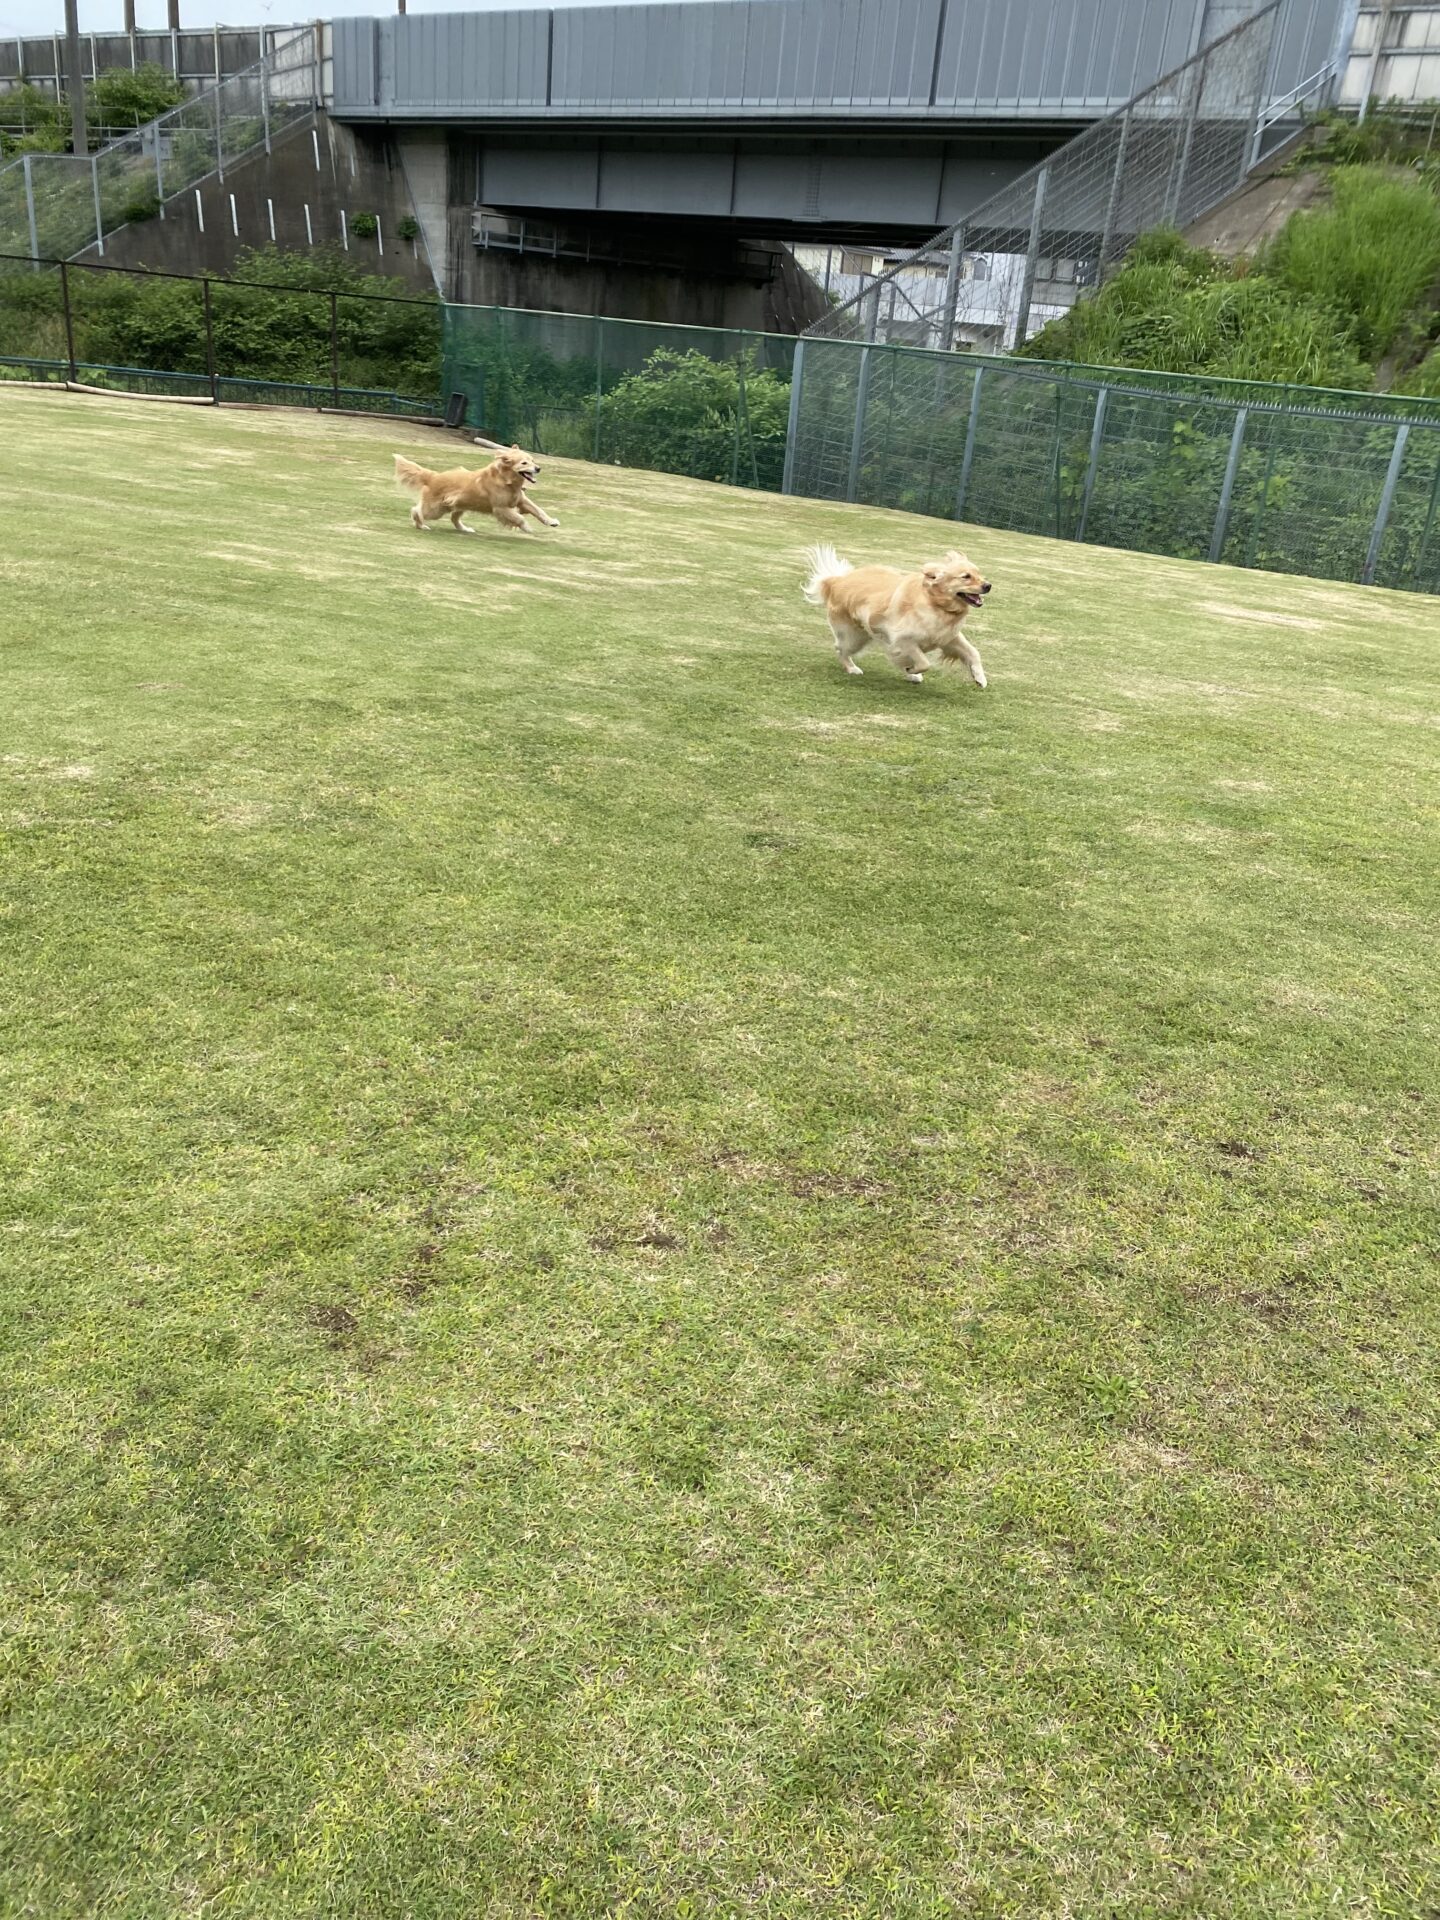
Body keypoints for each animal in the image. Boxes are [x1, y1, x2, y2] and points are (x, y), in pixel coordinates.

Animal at [393, 447, 559, 535]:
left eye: (533, 460)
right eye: (524, 463)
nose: (538, 468)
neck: (506, 480)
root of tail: (433, 476)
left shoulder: (521, 500)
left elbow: (539, 511)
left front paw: (552, 521)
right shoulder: (500, 508)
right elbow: (519, 518)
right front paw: (527, 528)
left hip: (460, 505)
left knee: (454, 519)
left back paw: (465, 529)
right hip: (436, 509)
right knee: (416, 510)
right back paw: (421, 525)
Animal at [802, 544, 991, 685]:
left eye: (979, 574)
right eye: (966, 577)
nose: (988, 585)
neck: (936, 604)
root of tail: (837, 581)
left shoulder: (948, 638)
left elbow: (973, 652)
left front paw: (979, 677)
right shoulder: (902, 640)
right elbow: (924, 662)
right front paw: (912, 670)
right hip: (854, 638)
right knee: (840, 649)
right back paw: (852, 668)